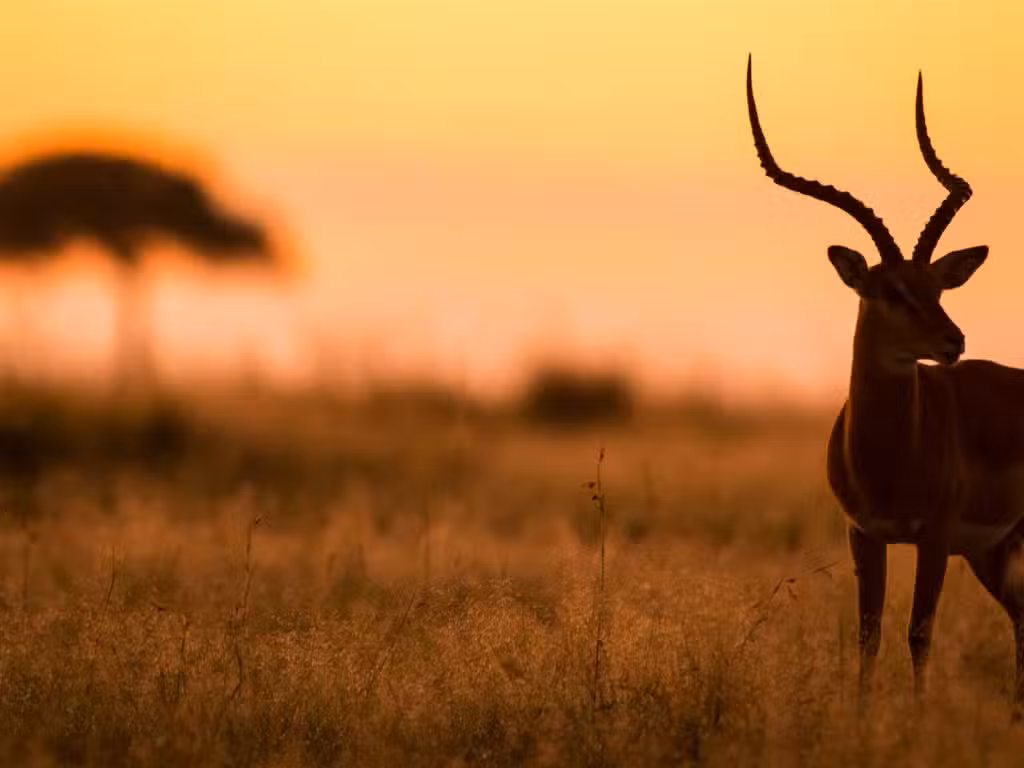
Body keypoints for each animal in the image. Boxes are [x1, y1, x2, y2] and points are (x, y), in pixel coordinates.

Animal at [747, 55, 1024, 706]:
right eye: (891, 290)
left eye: (937, 286)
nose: (954, 341)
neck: (889, 455)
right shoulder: (864, 535)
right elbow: (868, 636)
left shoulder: (934, 536)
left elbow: (918, 632)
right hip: (996, 551)